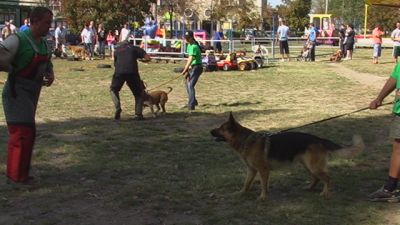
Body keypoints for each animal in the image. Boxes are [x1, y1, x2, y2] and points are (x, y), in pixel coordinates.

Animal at [211, 112, 364, 200]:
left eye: (221, 128)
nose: (210, 131)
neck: (245, 140)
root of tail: (319, 139)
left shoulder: (263, 170)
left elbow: (263, 185)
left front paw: (263, 197)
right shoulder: (252, 170)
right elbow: (246, 183)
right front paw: (241, 193)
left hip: (313, 166)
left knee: (327, 178)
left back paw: (325, 193)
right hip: (307, 166)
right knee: (316, 178)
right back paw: (309, 188)